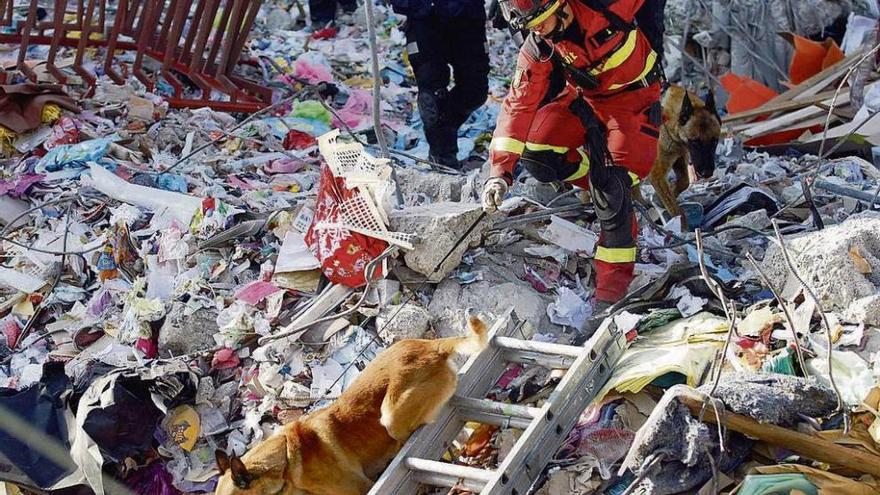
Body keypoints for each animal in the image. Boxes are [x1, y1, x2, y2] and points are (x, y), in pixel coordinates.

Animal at [648, 85, 720, 223]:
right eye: (695, 142)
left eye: (714, 141)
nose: (707, 173)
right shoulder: (657, 174)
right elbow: (676, 210)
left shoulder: (680, 159)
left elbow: (684, 182)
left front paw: (661, 198)